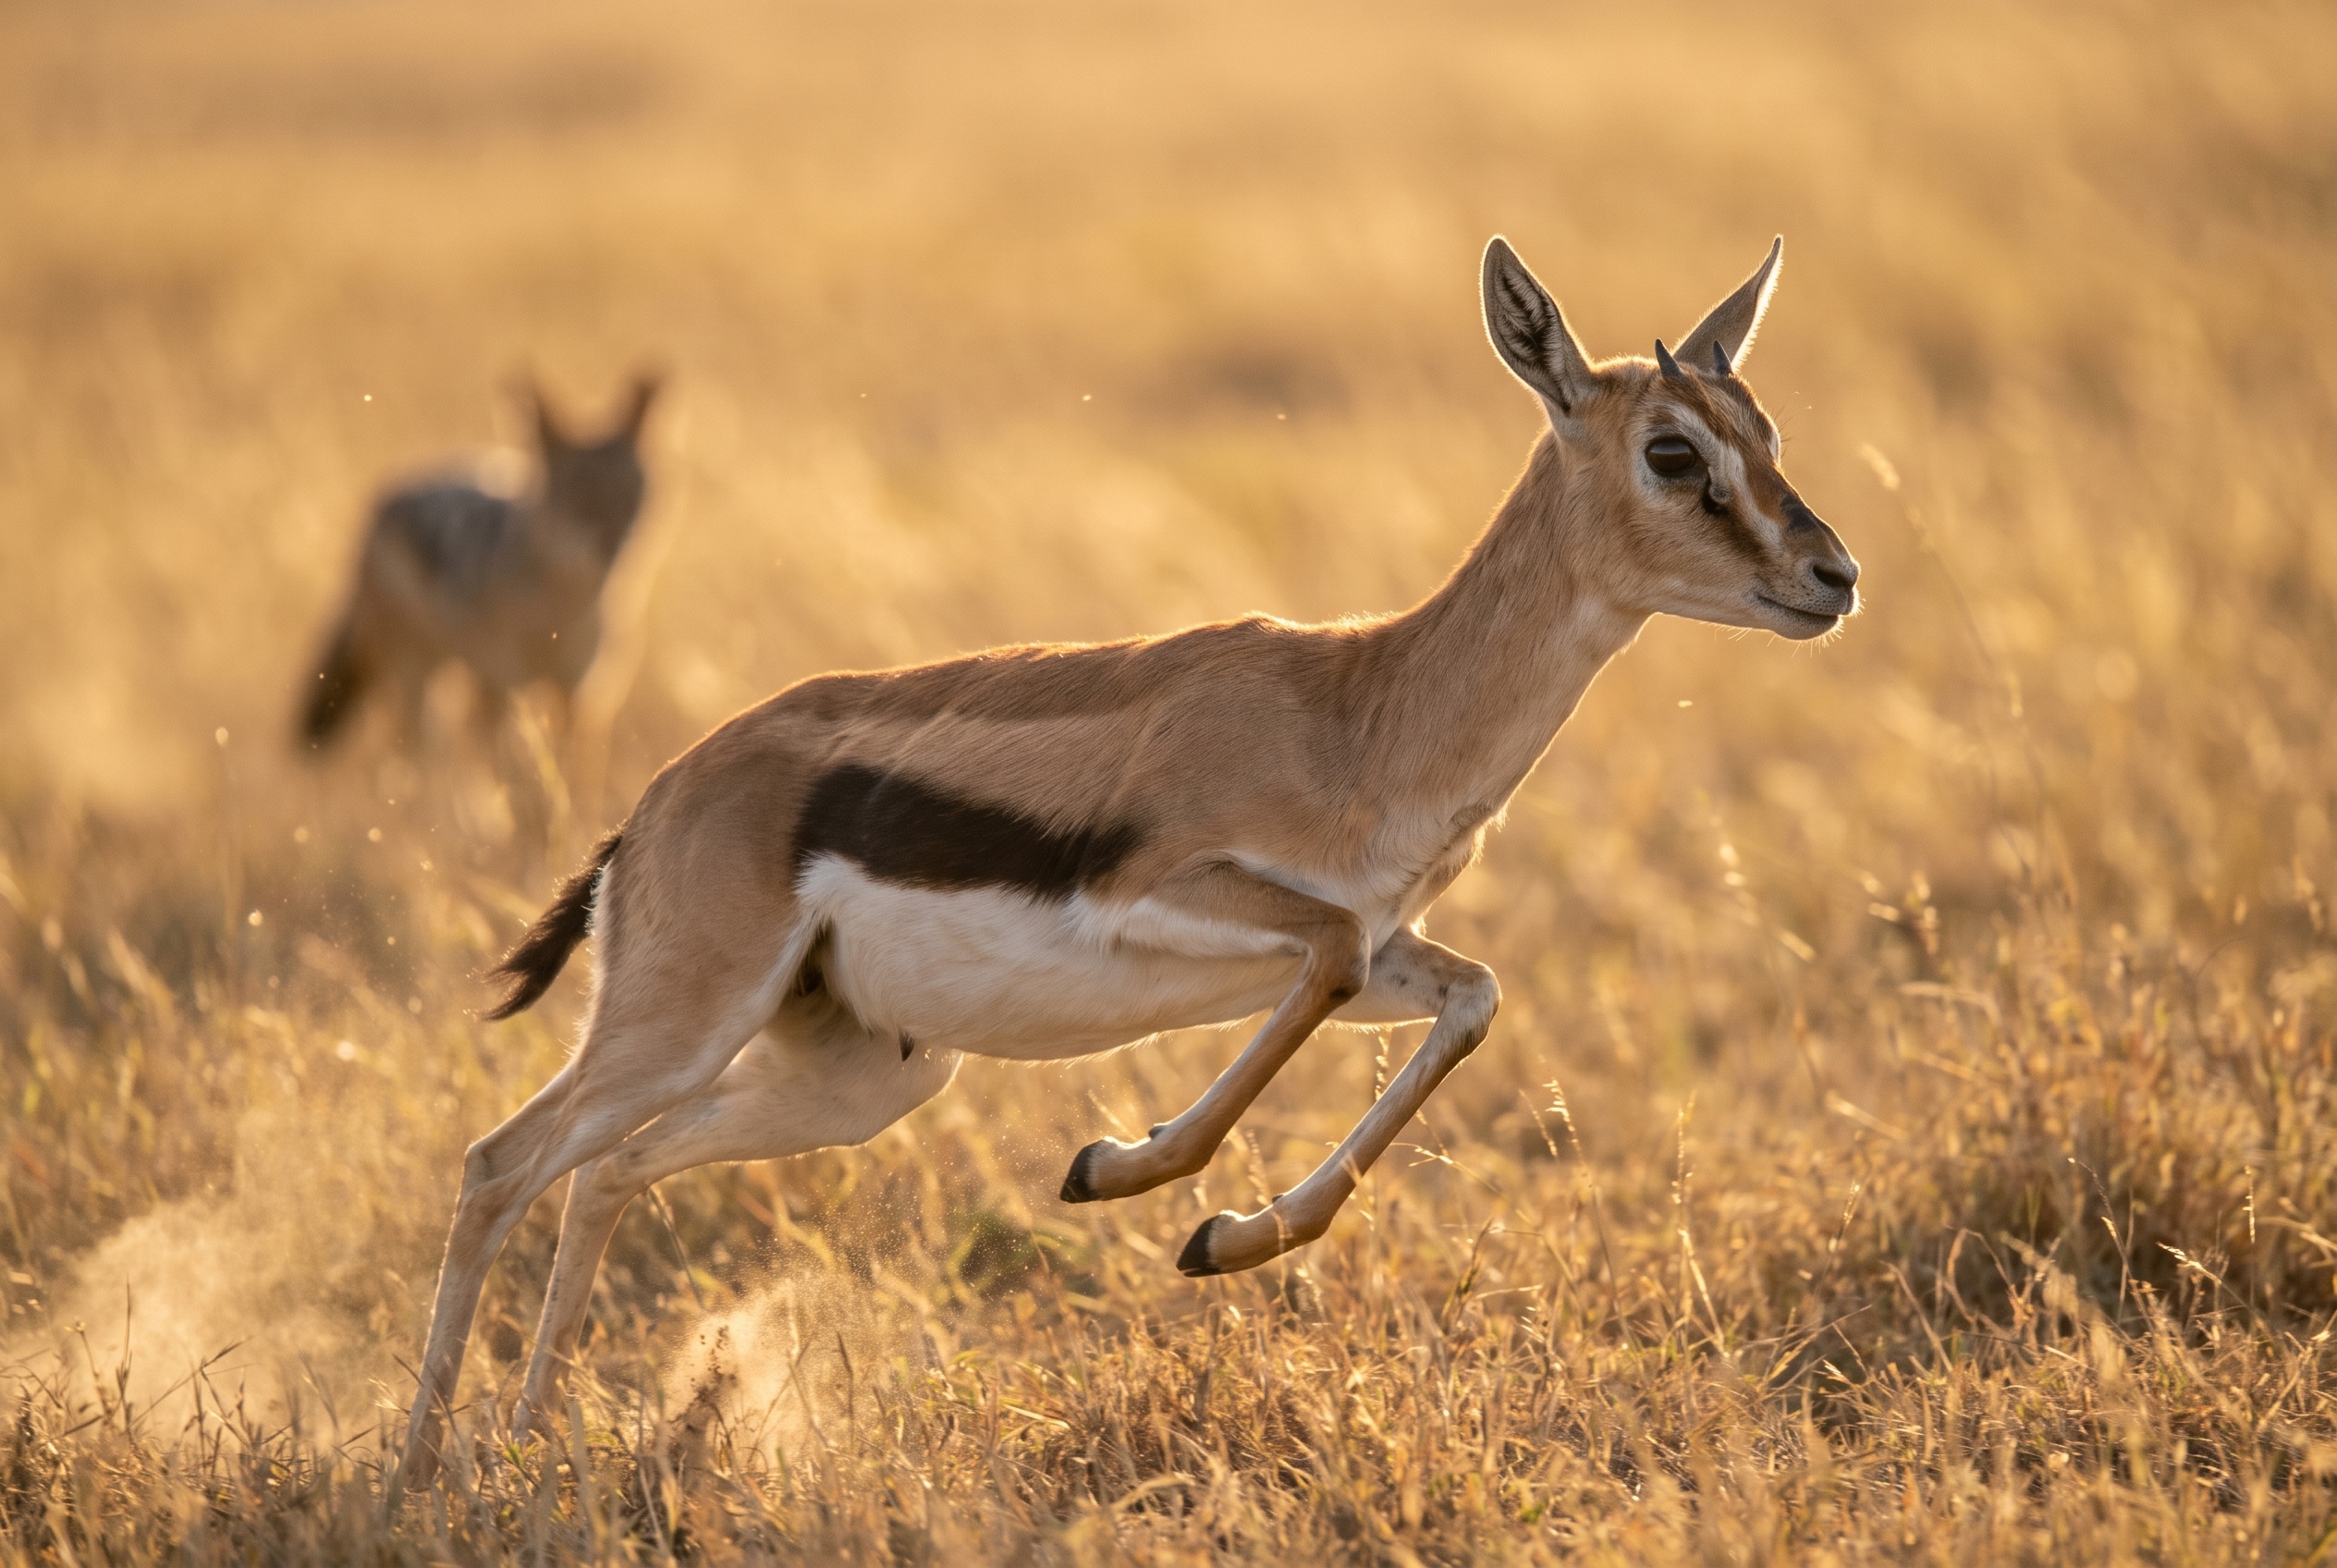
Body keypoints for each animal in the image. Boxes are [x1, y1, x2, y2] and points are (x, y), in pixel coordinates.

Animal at [297, 375, 659, 751]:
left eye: (632, 496)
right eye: (578, 496)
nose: (615, 544)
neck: (557, 612)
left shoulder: (581, 693)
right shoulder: (501, 685)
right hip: (420, 682)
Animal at [396, 236, 1859, 1490]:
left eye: (1764, 434)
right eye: (1672, 451)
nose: (1832, 574)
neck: (1359, 709)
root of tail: (655, 805)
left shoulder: (1371, 951)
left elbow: (1471, 995)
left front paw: (1223, 1236)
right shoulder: (1189, 899)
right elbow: (1320, 975)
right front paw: (1117, 1168)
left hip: (859, 1077)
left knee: (609, 1172)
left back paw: (529, 1442)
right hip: (688, 1019)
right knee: (499, 1164)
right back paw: (425, 1470)